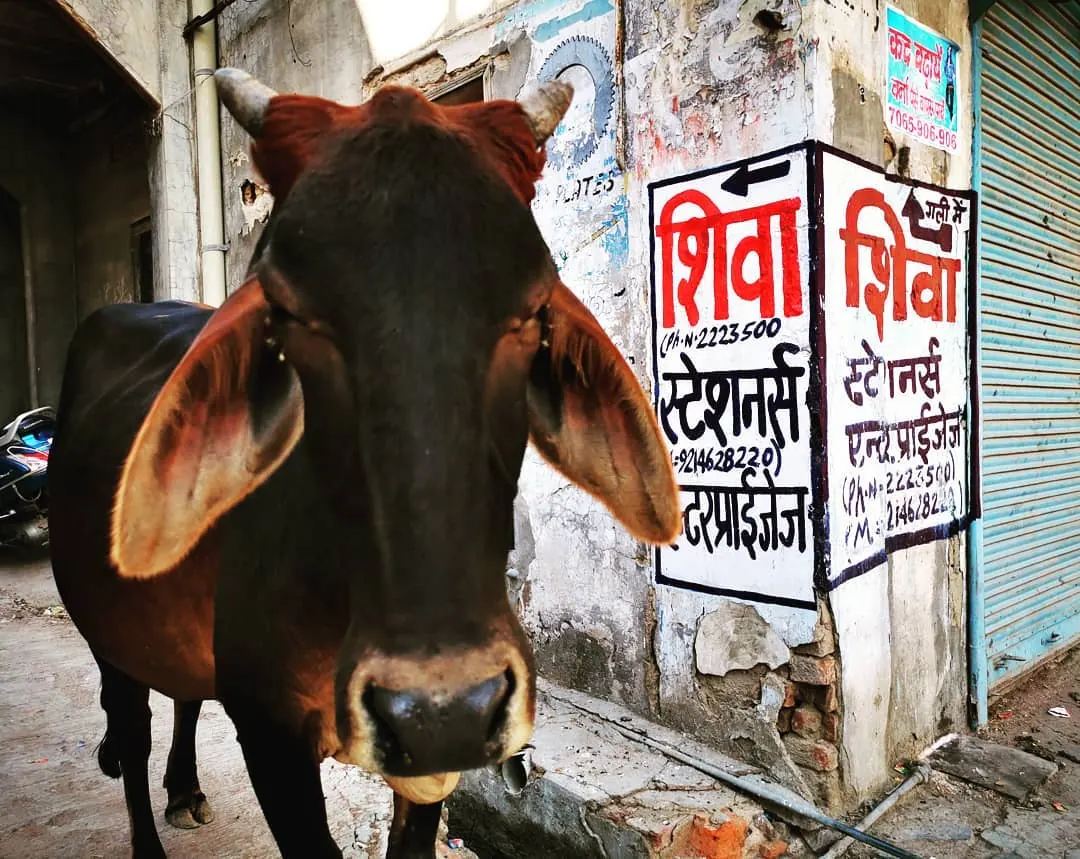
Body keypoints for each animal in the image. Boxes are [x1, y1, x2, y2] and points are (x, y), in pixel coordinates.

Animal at [47, 68, 680, 859]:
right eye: (287, 311)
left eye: (533, 309)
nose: (443, 709)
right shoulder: (270, 734)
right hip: (103, 627)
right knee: (130, 731)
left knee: (183, 694)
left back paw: (186, 788)